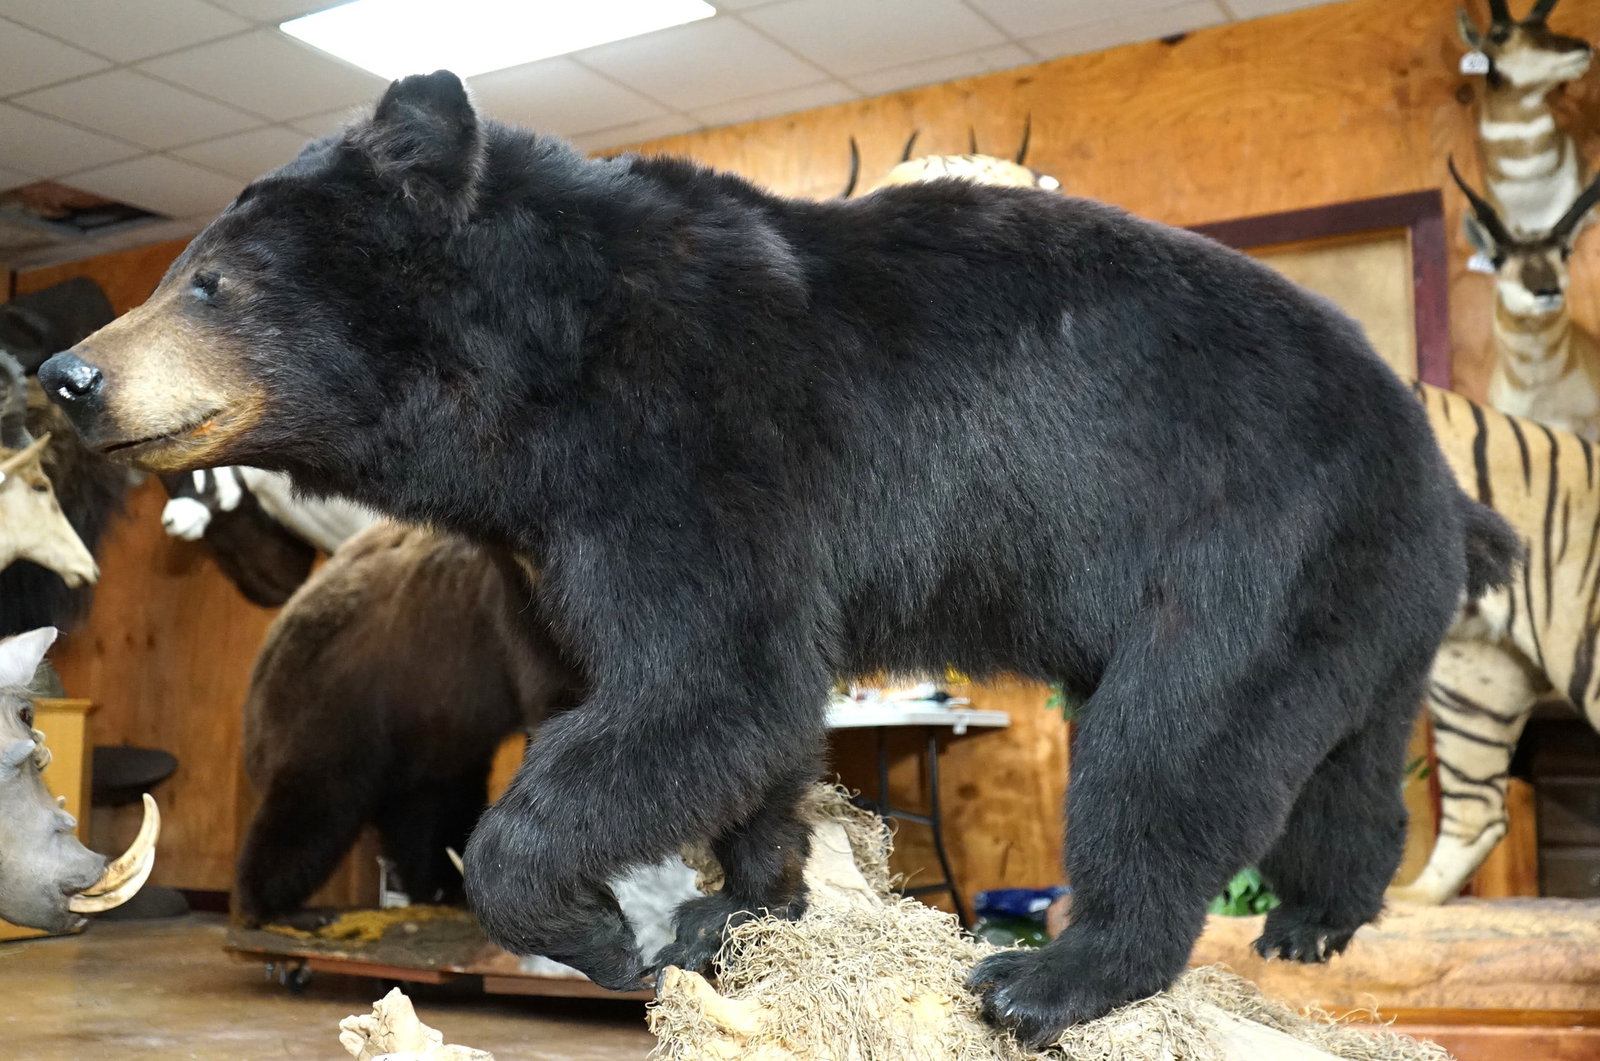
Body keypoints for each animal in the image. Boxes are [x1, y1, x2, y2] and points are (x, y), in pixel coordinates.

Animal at [40, 71, 1516, 1046]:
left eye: (211, 281)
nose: (66, 375)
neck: (542, 373)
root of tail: (1434, 469)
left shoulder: (698, 448)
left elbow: (707, 683)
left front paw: (596, 925)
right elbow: (749, 723)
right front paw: (746, 901)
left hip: (1240, 538)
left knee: (1173, 745)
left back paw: (1057, 971)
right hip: (1353, 594)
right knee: (1344, 757)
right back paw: (1317, 914)